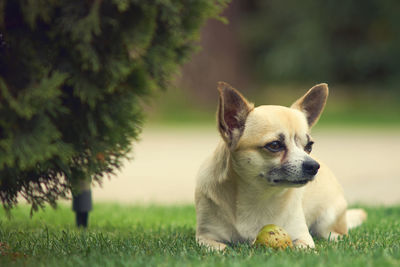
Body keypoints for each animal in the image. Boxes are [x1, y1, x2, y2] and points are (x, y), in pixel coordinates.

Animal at [195, 82, 368, 251]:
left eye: (309, 146)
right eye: (275, 145)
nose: (313, 166)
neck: (259, 198)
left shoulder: (303, 238)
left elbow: (297, 247)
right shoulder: (205, 238)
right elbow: (221, 249)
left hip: (327, 220)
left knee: (335, 234)